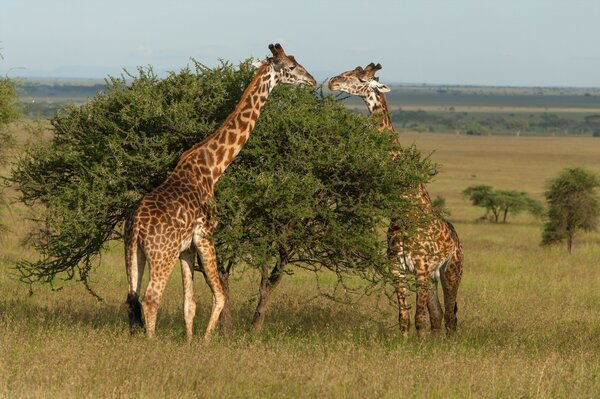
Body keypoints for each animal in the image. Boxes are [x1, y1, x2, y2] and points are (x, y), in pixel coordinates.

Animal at [124, 44, 316, 344]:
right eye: (292, 67)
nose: (312, 80)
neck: (213, 168)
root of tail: (136, 226)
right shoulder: (206, 234)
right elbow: (220, 296)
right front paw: (204, 341)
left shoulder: (187, 248)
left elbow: (189, 303)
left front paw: (190, 342)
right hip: (161, 254)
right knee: (151, 298)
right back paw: (151, 344)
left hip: (133, 252)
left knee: (131, 298)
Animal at [328, 64, 464, 340]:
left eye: (361, 78)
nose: (332, 82)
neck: (405, 206)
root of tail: (457, 239)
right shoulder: (397, 269)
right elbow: (404, 318)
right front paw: (404, 344)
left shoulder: (421, 268)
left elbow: (419, 318)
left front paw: (418, 346)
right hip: (433, 276)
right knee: (438, 316)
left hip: (451, 270)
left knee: (450, 316)